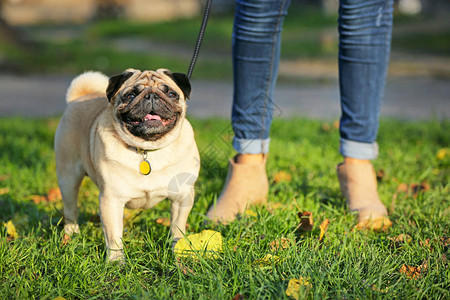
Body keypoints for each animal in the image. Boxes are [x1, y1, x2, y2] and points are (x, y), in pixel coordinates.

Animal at [53, 69, 200, 262]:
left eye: (171, 94)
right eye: (130, 95)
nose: (151, 96)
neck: (147, 149)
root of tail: (79, 97)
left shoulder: (182, 196)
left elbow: (177, 228)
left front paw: (178, 252)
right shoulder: (111, 200)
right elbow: (114, 236)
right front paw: (116, 262)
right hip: (68, 177)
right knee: (70, 209)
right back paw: (71, 234)